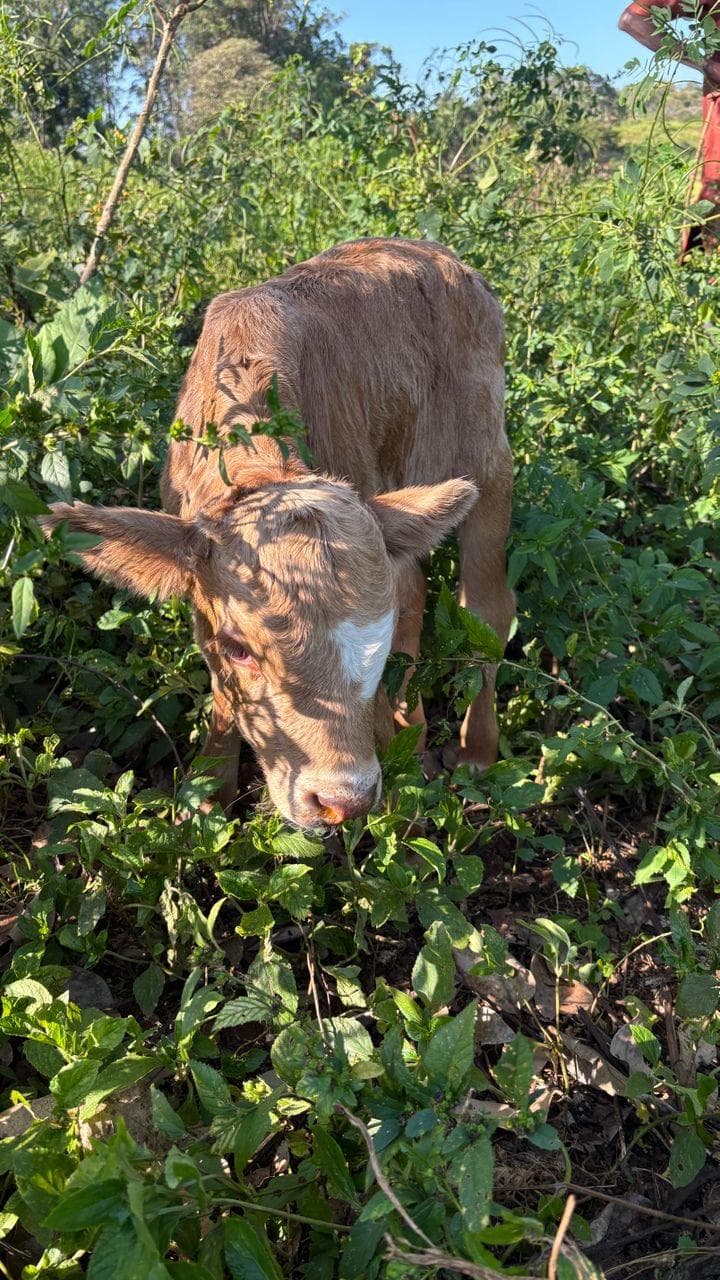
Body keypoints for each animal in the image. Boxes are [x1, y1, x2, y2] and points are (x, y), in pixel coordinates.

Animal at [42, 239, 513, 830]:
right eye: (239, 648)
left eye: (374, 646)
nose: (344, 800)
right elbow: (222, 691)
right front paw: (208, 792)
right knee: (415, 592)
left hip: (487, 453)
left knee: (487, 614)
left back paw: (476, 752)